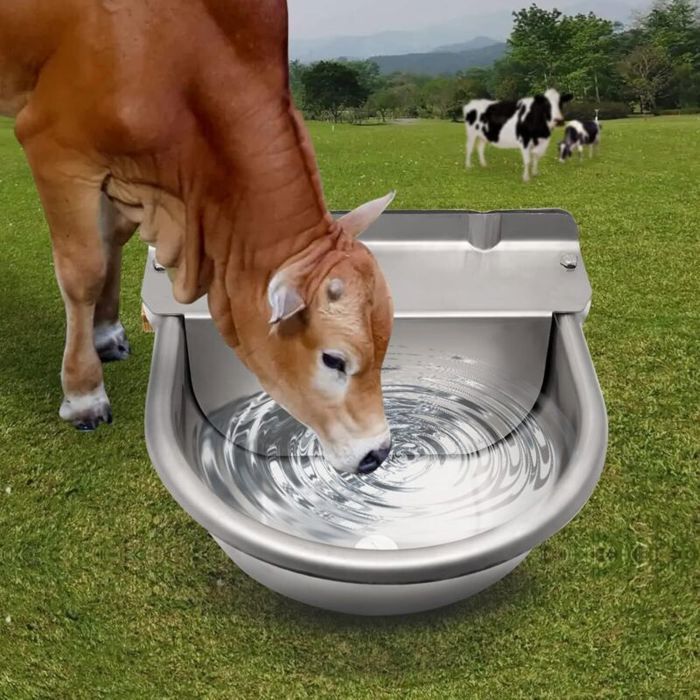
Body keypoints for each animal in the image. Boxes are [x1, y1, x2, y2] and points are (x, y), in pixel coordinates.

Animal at [0, 0, 396, 475]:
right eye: (334, 359)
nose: (377, 453)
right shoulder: (55, 146)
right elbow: (84, 273)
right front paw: (84, 394)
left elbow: (112, 239)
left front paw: (107, 333)